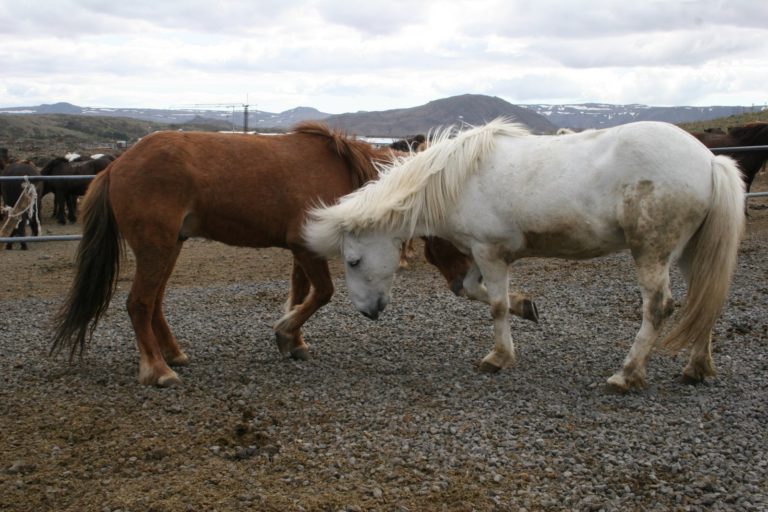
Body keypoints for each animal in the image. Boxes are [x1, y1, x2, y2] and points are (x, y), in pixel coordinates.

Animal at [50, 123, 535, 387]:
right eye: (455, 234)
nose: (468, 282)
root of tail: (117, 164)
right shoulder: (307, 246)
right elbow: (321, 294)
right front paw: (286, 334)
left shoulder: (300, 250)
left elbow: (302, 293)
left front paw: (294, 340)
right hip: (156, 247)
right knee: (139, 304)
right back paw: (156, 370)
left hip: (170, 246)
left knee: (155, 304)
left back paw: (172, 354)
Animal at [304, 119, 745, 392]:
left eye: (353, 260)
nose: (368, 312)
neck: (458, 178)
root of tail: (709, 160)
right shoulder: (478, 254)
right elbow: (470, 290)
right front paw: (527, 307)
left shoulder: (490, 252)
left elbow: (495, 306)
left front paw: (499, 356)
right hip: (689, 251)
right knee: (703, 301)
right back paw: (697, 368)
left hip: (651, 252)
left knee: (658, 307)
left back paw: (627, 374)